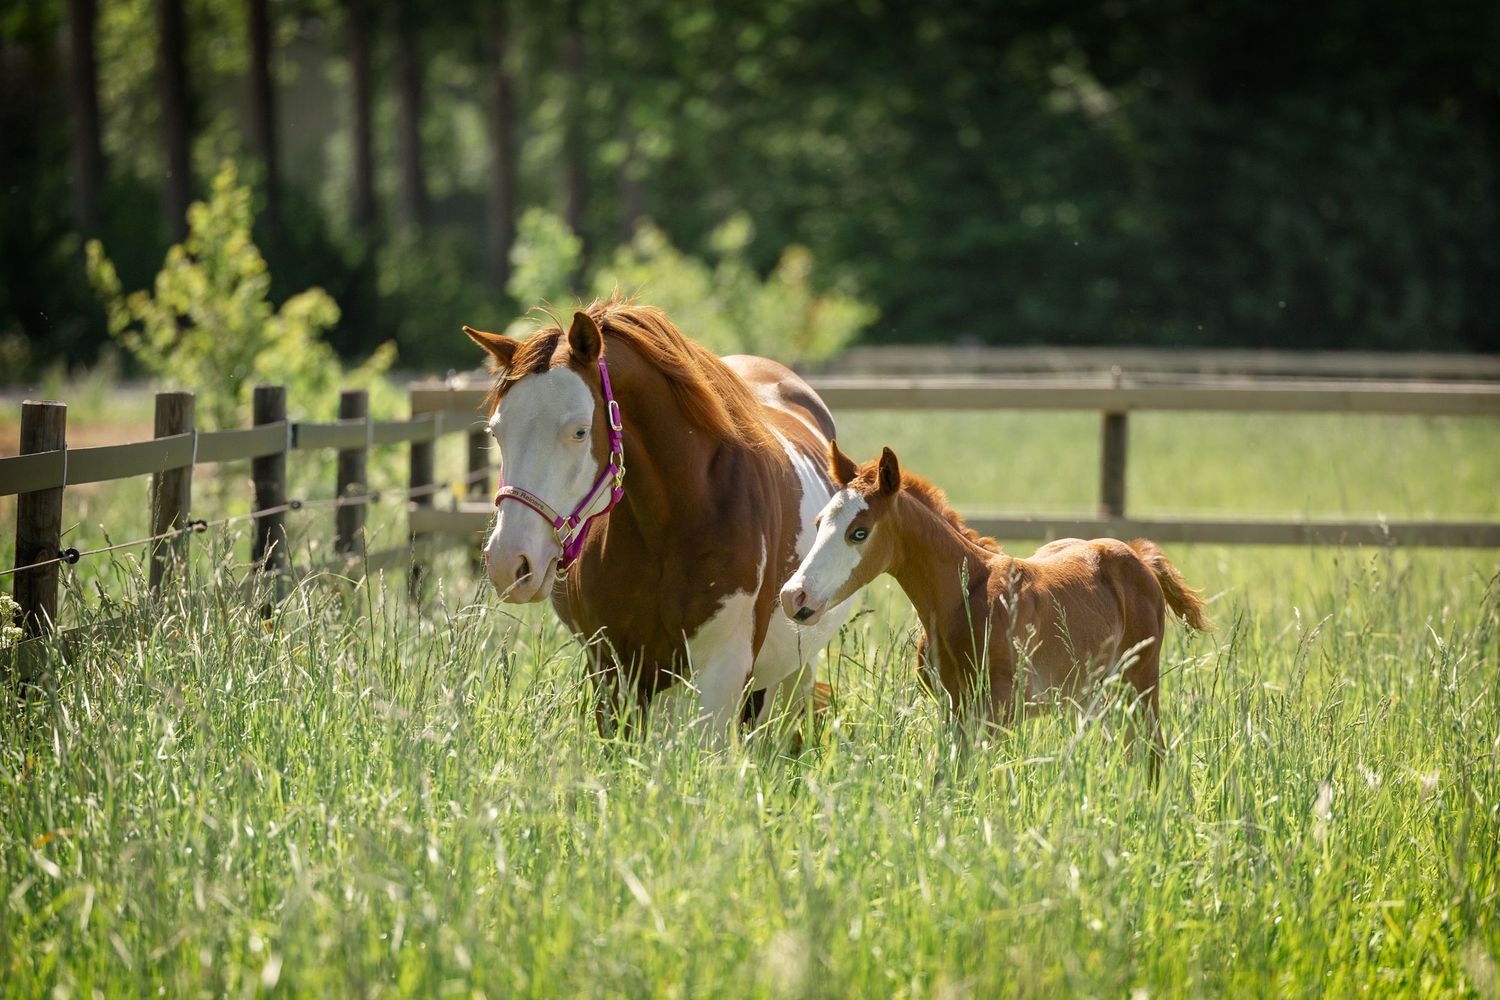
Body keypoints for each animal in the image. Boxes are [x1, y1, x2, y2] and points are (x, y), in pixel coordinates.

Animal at [462, 297, 851, 738]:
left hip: (791, 677)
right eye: (496, 432)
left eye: (579, 431)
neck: (673, 523)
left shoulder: (721, 674)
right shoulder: (614, 672)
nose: (509, 563)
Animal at [778, 442, 1211, 761]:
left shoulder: (996, 713)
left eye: (859, 532)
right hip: (1093, 696)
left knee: (1153, 754)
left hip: (1139, 684)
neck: (962, 598)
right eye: (819, 523)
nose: (793, 595)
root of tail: (1135, 555)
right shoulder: (952, 708)